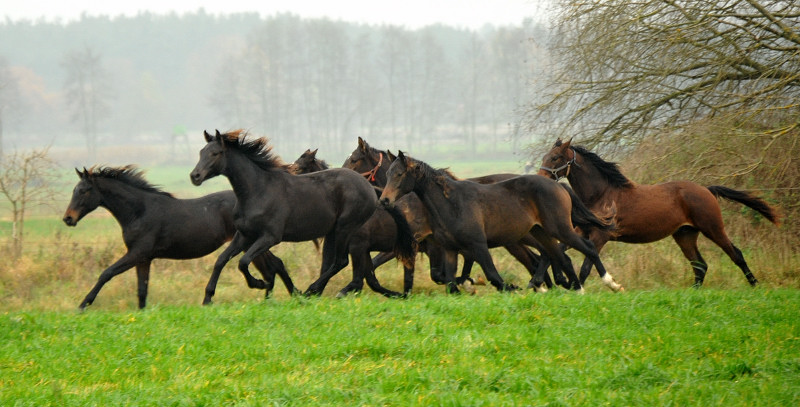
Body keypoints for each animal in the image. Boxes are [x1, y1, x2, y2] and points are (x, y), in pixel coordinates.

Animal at [61, 165, 296, 310]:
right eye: (74, 190)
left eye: (84, 190)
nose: (68, 218)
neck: (140, 211)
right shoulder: (144, 259)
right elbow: (142, 290)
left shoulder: (137, 253)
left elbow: (106, 273)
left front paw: (83, 305)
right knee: (273, 266)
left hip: (251, 241)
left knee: (273, 266)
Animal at [190, 129, 404, 302]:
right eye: (201, 152)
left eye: (215, 153)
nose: (195, 176)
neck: (258, 191)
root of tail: (368, 186)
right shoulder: (244, 235)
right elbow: (221, 260)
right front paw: (208, 298)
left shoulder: (270, 237)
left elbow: (243, 262)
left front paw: (259, 284)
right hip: (334, 233)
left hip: (345, 229)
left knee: (341, 261)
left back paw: (310, 291)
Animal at [382, 151, 624, 294]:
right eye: (388, 173)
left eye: (400, 174)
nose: (384, 200)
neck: (451, 203)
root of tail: (559, 185)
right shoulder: (450, 249)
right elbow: (450, 281)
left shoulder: (477, 245)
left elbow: (493, 276)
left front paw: (512, 288)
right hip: (542, 232)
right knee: (559, 256)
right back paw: (574, 288)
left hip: (560, 229)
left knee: (588, 248)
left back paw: (611, 284)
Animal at [536, 139, 780, 288]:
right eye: (545, 156)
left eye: (556, 157)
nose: (540, 179)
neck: (601, 195)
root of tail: (707, 190)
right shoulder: (581, 231)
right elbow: (554, 251)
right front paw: (550, 282)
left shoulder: (600, 236)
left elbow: (587, 266)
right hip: (685, 234)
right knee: (700, 265)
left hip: (713, 228)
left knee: (735, 254)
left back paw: (755, 286)